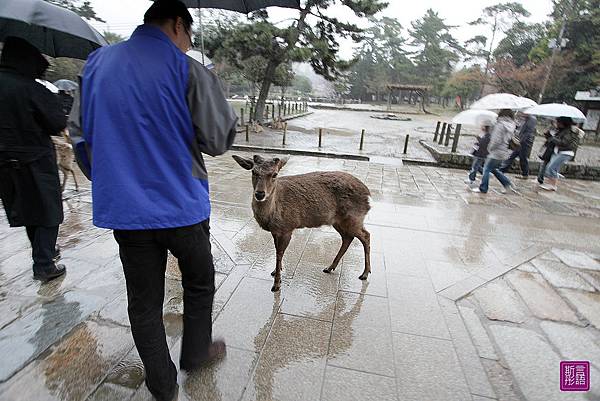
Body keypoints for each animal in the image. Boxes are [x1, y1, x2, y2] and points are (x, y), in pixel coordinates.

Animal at [233, 154, 370, 290]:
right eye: (254, 172)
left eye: (275, 174)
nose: (260, 194)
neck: (272, 214)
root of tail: (368, 194)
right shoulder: (276, 230)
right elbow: (277, 251)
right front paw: (276, 271)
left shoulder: (287, 227)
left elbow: (279, 253)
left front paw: (276, 284)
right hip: (338, 221)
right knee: (348, 238)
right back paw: (330, 267)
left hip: (354, 217)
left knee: (366, 235)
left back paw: (364, 274)